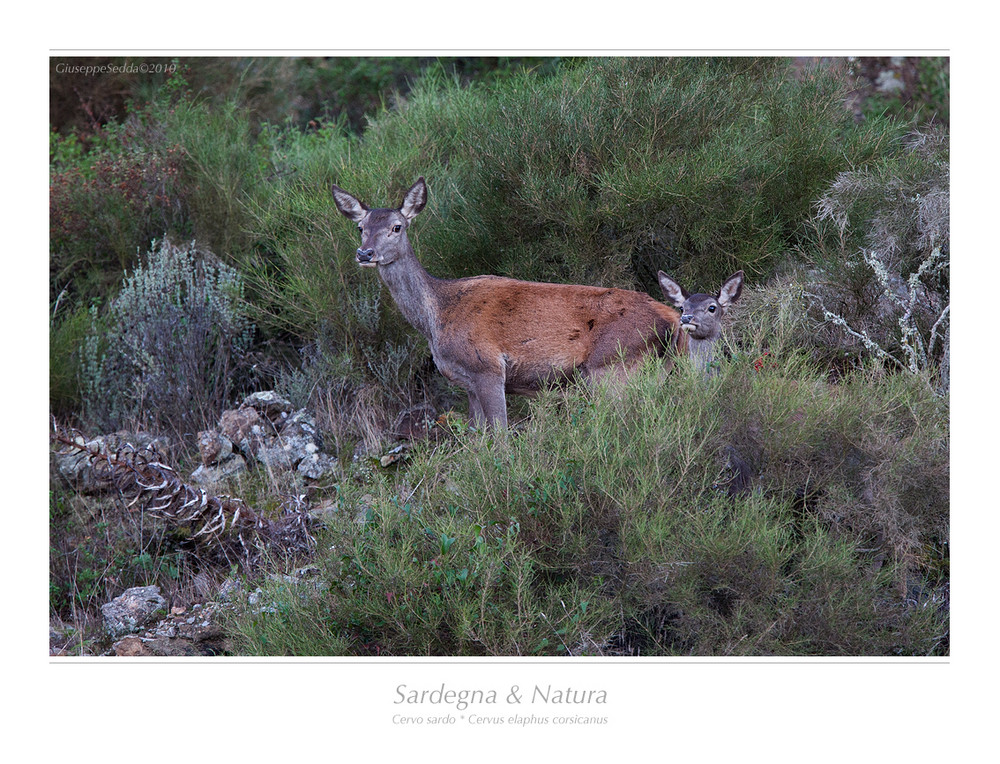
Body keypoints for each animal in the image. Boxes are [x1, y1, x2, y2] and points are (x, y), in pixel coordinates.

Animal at [334, 180, 688, 430]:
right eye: (360, 227)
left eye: (397, 227)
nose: (364, 253)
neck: (436, 317)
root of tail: (671, 318)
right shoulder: (468, 384)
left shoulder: (487, 367)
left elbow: (501, 439)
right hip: (655, 369)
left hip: (615, 367)